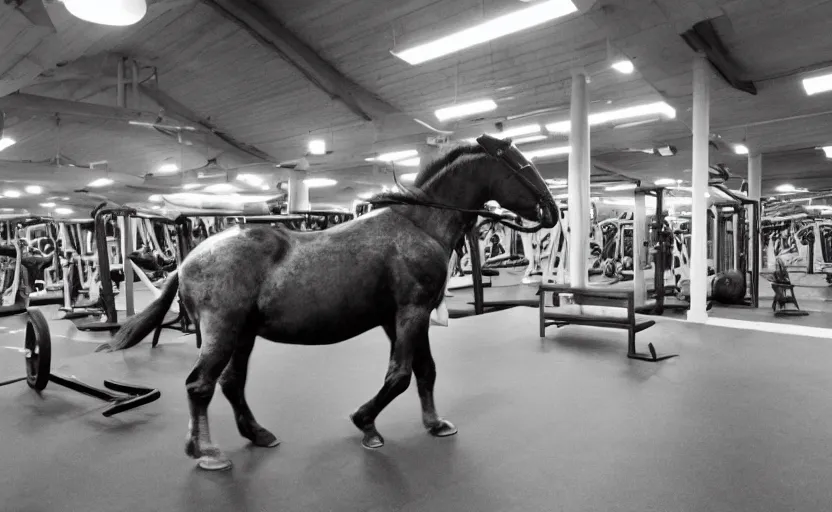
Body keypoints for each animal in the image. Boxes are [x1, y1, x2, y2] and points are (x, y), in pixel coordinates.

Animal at [101, 134, 564, 470]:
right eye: (522, 165)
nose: (552, 209)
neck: (419, 225)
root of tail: (186, 261)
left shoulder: (403, 319)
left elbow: (425, 372)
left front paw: (434, 424)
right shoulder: (410, 313)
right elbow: (399, 376)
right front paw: (366, 423)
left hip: (243, 335)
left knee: (231, 384)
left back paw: (258, 434)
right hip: (222, 334)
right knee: (200, 386)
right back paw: (208, 453)